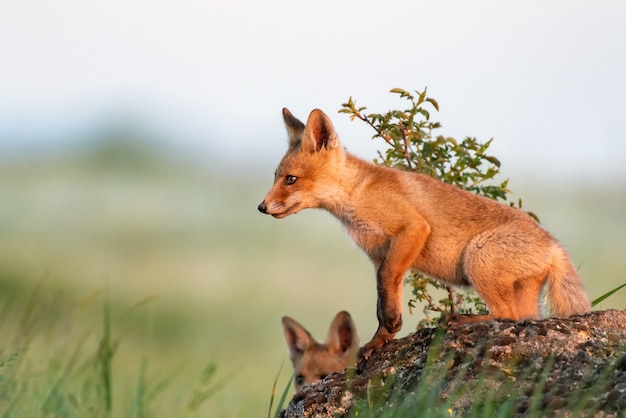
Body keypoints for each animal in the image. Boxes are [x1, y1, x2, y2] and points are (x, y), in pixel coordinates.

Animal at [258, 107, 588, 356]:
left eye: (290, 179)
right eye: (275, 177)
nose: (261, 207)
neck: (357, 197)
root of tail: (554, 245)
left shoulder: (412, 230)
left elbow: (387, 291)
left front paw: (391, 327)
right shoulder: (378, 255)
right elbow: (382, 301)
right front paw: (381, 339)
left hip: (477, 259)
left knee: (506, 314)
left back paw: (460, 319)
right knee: (523, 318)